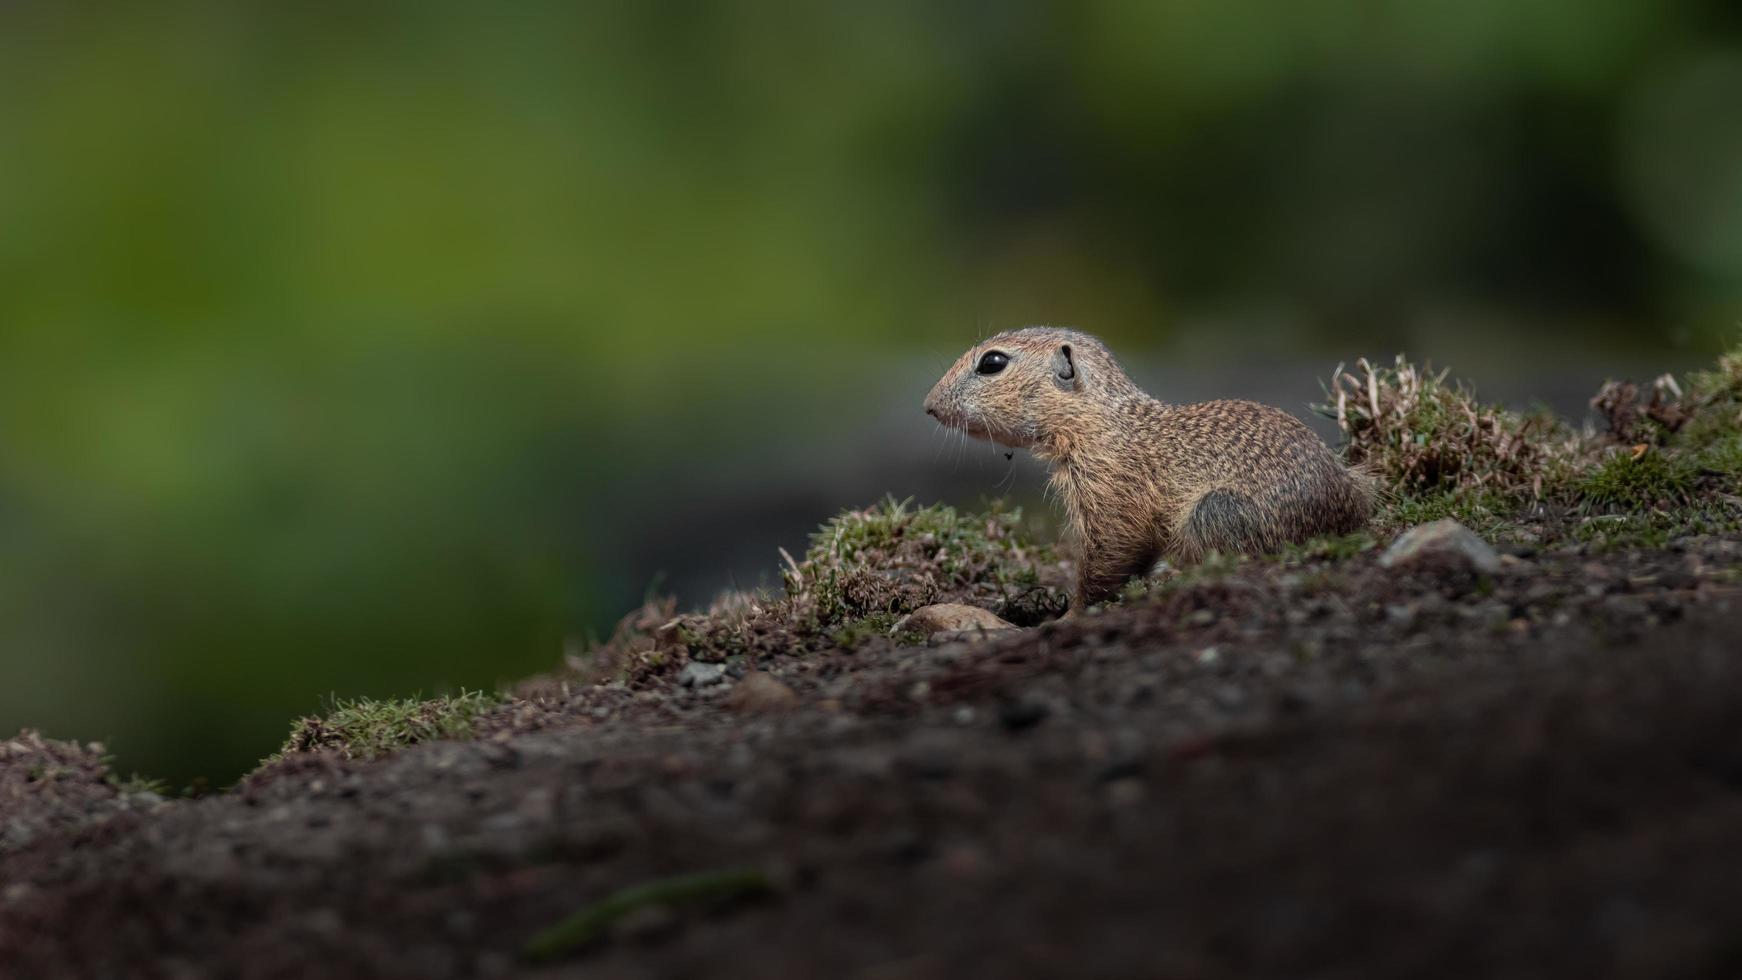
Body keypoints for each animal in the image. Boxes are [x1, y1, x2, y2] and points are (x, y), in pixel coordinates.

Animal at [926, 328, 1372, 612]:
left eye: (992, 362)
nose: (929, 405)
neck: (1102, 421)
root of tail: (1348, 510)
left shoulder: (1109, 493)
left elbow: (1110, 556)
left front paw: (1070, 614)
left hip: (1215, 510)